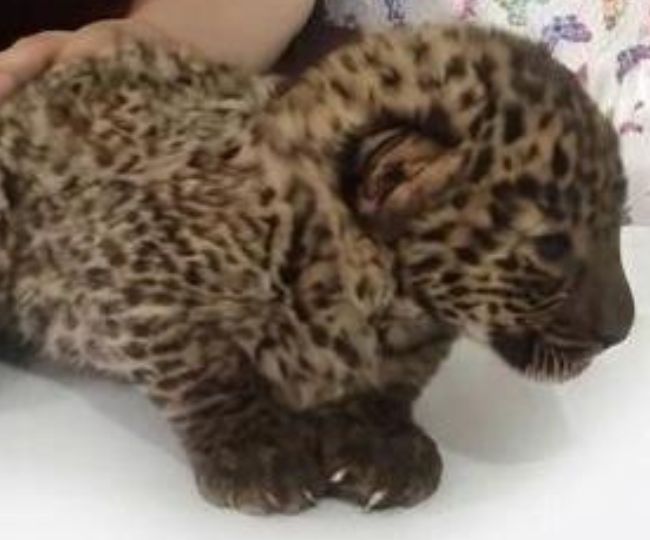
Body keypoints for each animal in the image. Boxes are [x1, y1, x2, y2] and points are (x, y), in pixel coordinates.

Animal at [0, 23, 634, 514]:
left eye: (617, 225)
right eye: (552, 246)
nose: (623, 330)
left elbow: (391, 383)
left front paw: (378, 442)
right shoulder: (127, 258)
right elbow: (206, 371)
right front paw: (257, 451)